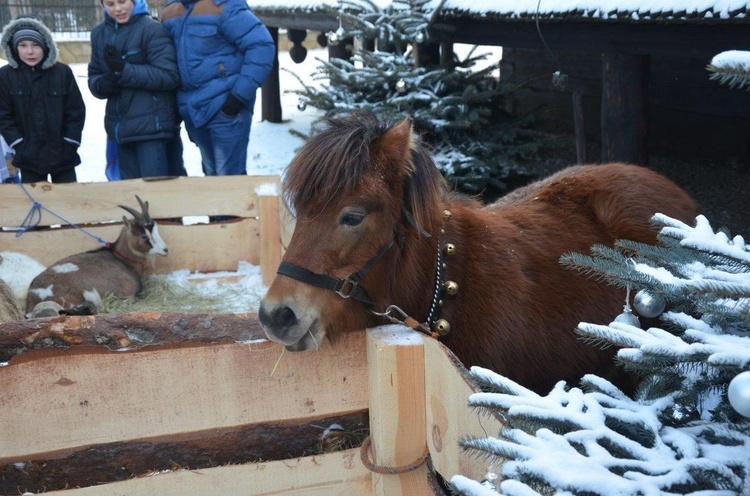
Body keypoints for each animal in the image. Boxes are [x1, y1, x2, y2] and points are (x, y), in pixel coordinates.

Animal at [26, 195, 169, 318]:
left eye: (156, 230)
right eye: (144, 236)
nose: (165, 250)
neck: (121, 259)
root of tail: (32, 300)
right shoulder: (127, 295)